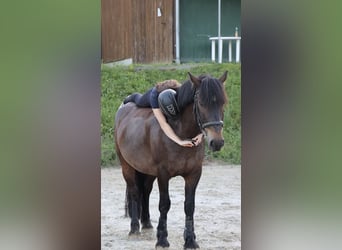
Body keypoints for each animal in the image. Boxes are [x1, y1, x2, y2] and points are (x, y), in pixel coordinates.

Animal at [113, 71, 228, 249]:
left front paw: (190, 240)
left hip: (147, 171)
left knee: (145, 191)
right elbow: (164, 204)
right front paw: (162, 239)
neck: (181, 133)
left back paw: (147, 223)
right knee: (134, 192)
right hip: (127, 166)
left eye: (223, 102)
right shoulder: (163, 174)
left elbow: (189, 206)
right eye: (201, 103)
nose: (216, 142)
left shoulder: (194, 174)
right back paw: (134, 228)